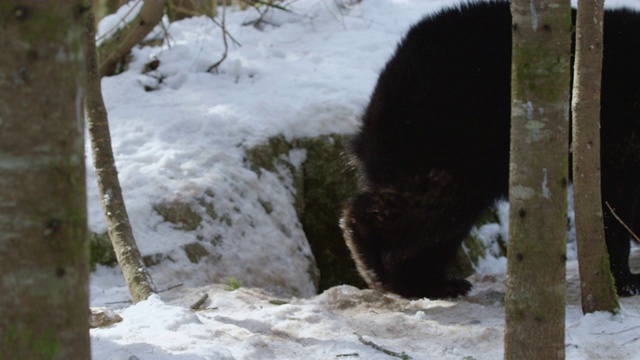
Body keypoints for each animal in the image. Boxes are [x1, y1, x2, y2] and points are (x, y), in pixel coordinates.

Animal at [342, 0, 640, 298]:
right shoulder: (615, 138)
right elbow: (614, 205)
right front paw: (625, 279)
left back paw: (431, 282)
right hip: (445, 134)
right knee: (430, 200)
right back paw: (373, 262)